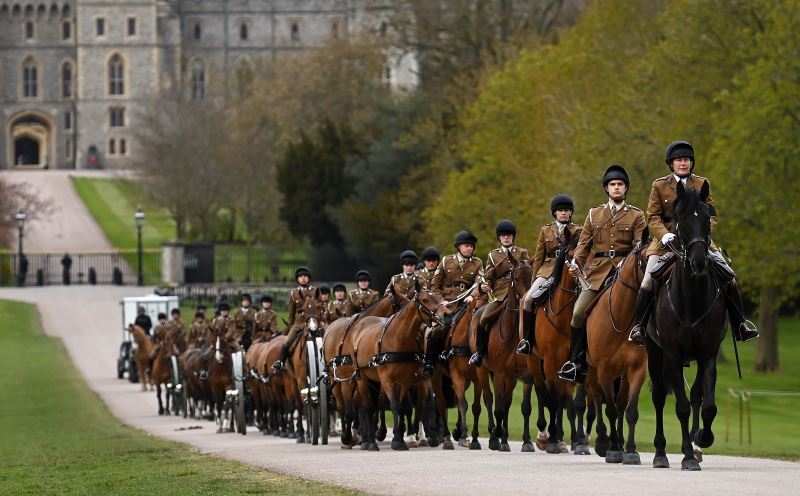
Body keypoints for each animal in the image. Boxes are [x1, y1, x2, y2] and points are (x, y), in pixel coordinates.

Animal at [350, 284, 450, 452]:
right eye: (425, 299)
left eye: (438, 297)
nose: (447, 315)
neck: (398, 339)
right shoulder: (388, 381)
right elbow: (395, 405)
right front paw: (397, 440)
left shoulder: (407, 381)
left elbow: (404, 407)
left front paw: (402, 437)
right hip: (362, 378)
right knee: (368, 406)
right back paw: (369, 441)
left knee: (376, 404)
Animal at [478, 254, 536, 452]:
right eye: (515, 277)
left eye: (533, 276)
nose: (526, 299)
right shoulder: (500, 373)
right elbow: (498, 408)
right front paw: (496, 435)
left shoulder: (524, 375)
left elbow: (522, 407)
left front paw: (525, 441)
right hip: (483, 371)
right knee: (489, 399)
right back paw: (494, 436)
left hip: (511, 377)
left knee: (507, 401)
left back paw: (503, 438)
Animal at [588, 236, 648, 464]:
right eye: (647, 259)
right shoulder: (604, 371)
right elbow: (610, 410)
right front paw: (611, 448)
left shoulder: (637, 369)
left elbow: (630, 410)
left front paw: (630, 450)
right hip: (590, 371)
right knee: (597, 399)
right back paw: (603, 441)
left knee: (621, 403)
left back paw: (621, 443)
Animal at [644, 180, 724, 470]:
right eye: (682, 221)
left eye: (707, 219)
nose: (698, 263)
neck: (692, 298)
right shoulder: (672, 355)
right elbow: (680, 406)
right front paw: (687, 456)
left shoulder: (708, 353)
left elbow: (707, 404)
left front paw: (703, 438)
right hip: (653, 352)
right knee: (658, 398)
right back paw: (660, 453)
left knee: (697, 396)